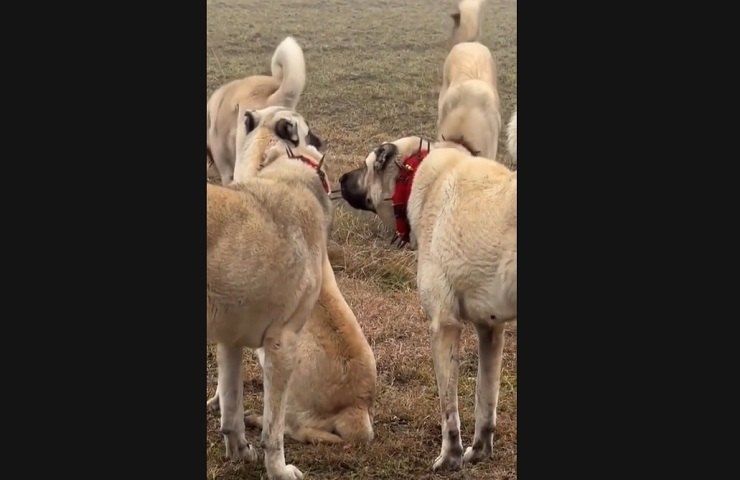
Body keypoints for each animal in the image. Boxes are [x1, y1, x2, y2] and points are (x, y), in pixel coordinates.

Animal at [210, 106, 334, 480]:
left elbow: (232, 409)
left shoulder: (229, 340)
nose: (324, 139)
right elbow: (273, 429)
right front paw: (278, 469)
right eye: (313, 133)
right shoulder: (283, 346)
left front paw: (239, 451)